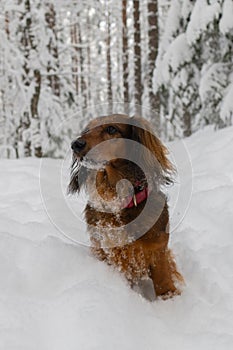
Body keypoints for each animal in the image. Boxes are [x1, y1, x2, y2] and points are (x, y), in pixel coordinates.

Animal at [68, 114, 183, 298]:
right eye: (87, 130)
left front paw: (170, 300)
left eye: (111, 129)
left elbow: (164, 283)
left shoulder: (158, 251)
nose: (75, 144)